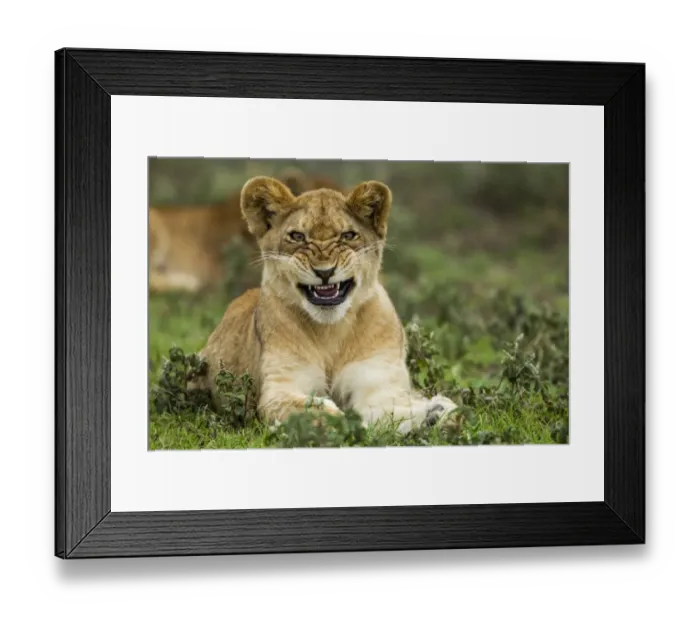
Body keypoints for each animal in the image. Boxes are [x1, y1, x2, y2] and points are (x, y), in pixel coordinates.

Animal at [192, 176, 459, 433]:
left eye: (348, 235)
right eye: (297, 236)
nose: (325, 272)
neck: (330, 331)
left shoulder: (377, 382)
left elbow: (392, 411)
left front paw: (437, 413)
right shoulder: (280, 388)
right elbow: (314, 412)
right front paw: (347, 423)